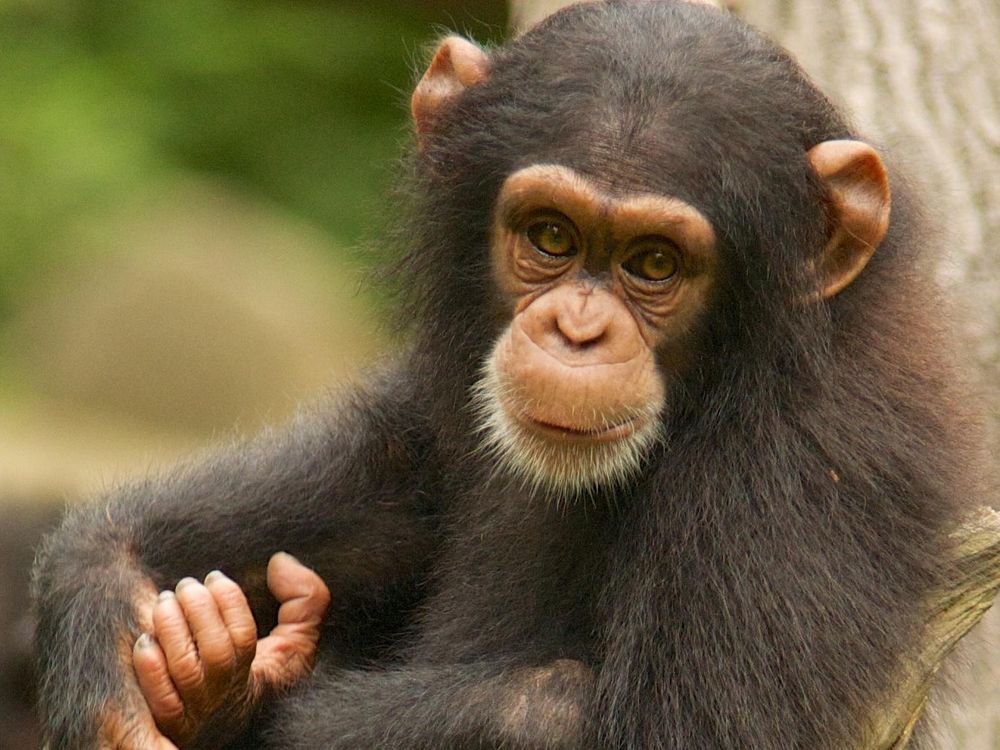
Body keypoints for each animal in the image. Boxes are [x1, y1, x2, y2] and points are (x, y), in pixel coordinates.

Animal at [33, 1, 984, 750]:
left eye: (655, 262)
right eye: (551, 236)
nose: (576, 330)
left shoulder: (798, 484)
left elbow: (649, 727)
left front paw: (237, 698)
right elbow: (392, 466)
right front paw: (106, 595)